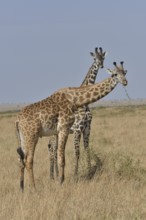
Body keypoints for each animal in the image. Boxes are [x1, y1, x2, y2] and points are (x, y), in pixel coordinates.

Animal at [16, 61, 127, 190]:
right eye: (115, 74)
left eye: (124, 73)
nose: (125, 82)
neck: (74, 99)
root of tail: (17, 120)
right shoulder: (65, 128)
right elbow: (63, 157)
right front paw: (62, 181)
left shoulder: (66, 130)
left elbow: (68, 153)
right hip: (32, 136)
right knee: (29, 160)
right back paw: (34, 188)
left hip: (23, 137)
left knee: (21, 159)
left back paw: (22, 188)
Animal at [48, 46, 106, 179]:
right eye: (95, 58)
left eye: (103, 58)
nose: (100, 65)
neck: (85, 104)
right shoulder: (77, 129)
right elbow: (77, 152)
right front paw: (76, 175)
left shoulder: (87, 128)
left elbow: (87, 149)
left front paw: (89, 172)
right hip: (54, 133)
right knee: (53, 151)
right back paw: (54, 176)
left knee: (55, 150)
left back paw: (55, 175)